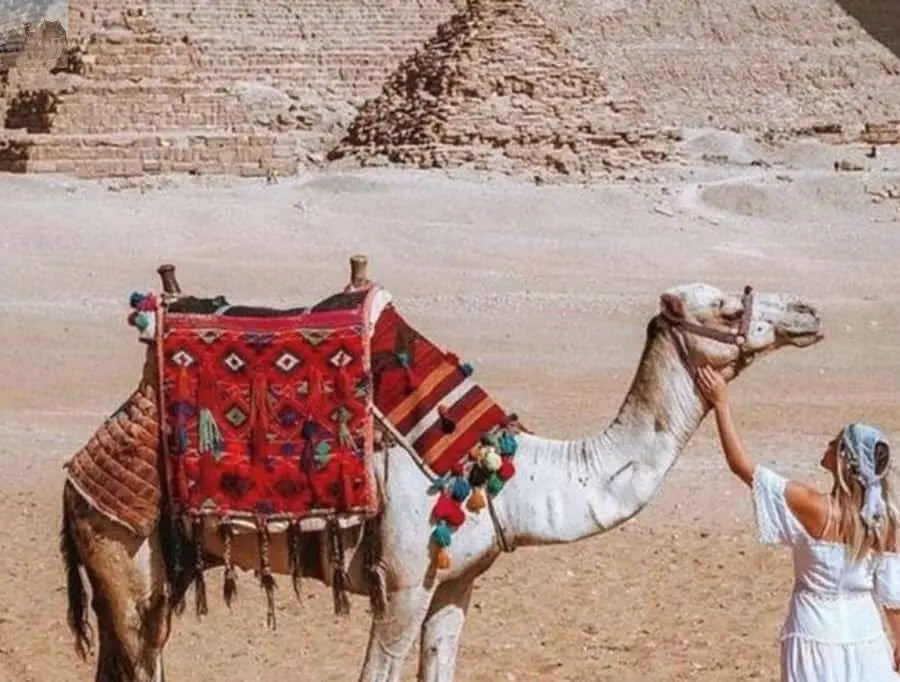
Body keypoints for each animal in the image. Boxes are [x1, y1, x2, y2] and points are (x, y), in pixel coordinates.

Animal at [60, 263, 823, 682]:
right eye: (727, 306)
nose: (808, 312)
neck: (509, 480)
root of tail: (76, 473)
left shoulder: (458, 581)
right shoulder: (402, 580)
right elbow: (378, 671)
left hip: (158, 565)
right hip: (121, 550)